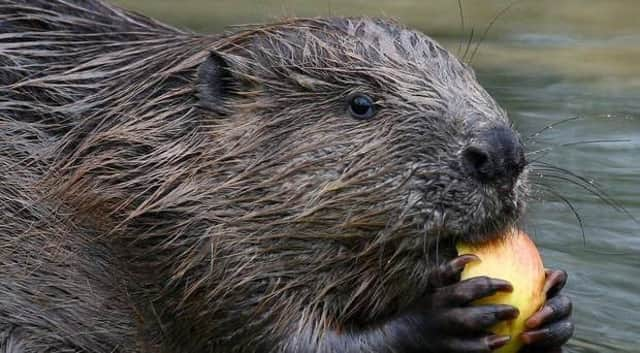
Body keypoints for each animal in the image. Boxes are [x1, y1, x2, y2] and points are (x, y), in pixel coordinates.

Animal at [0, 0, 576, 352]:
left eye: (471, 78)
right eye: (361, 103)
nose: (499, 153)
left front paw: (557, 308)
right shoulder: (186, 242)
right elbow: (284, 340)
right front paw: (442, 316)